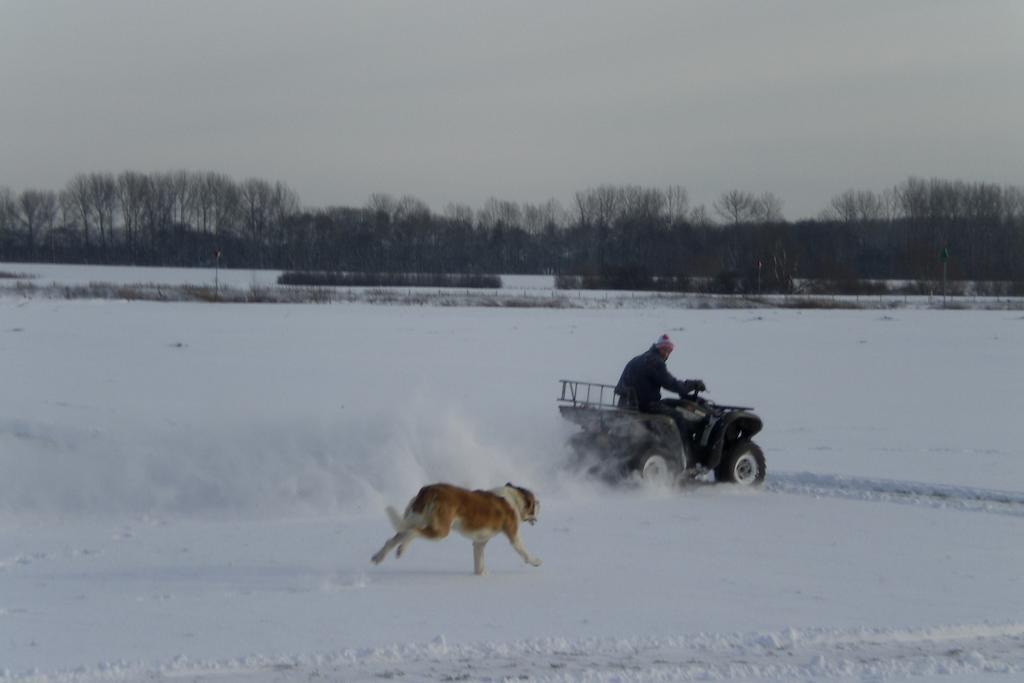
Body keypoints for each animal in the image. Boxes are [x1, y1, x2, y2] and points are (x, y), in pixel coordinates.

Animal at [370, 483, 544, 573]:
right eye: (534, 502)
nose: (540, 502)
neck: (514, 498)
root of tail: (430, 489)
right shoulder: (514, 536)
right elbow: (524, 552)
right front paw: (536, 561)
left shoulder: (479, 543)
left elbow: (479, 563)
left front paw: (480, 576)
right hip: (440, 531)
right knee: (412, 533)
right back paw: (401, 550)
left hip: (416, 519)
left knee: (394, 539)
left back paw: (379, 556)